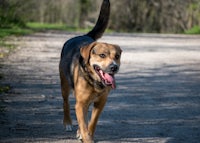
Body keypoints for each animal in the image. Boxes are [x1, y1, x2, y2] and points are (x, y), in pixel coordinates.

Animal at [59, 0, 122, 142]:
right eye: (102, 55)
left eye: (117, 56)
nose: (114, 67)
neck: (95, 81)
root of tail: (83, 36)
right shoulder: (80, 104)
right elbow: (83, 124)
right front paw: (86, 137)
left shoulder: (101, 102)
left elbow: (92, 122)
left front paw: (87, 134)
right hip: (64, 85)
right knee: (66, 103)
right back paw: (67, 123)